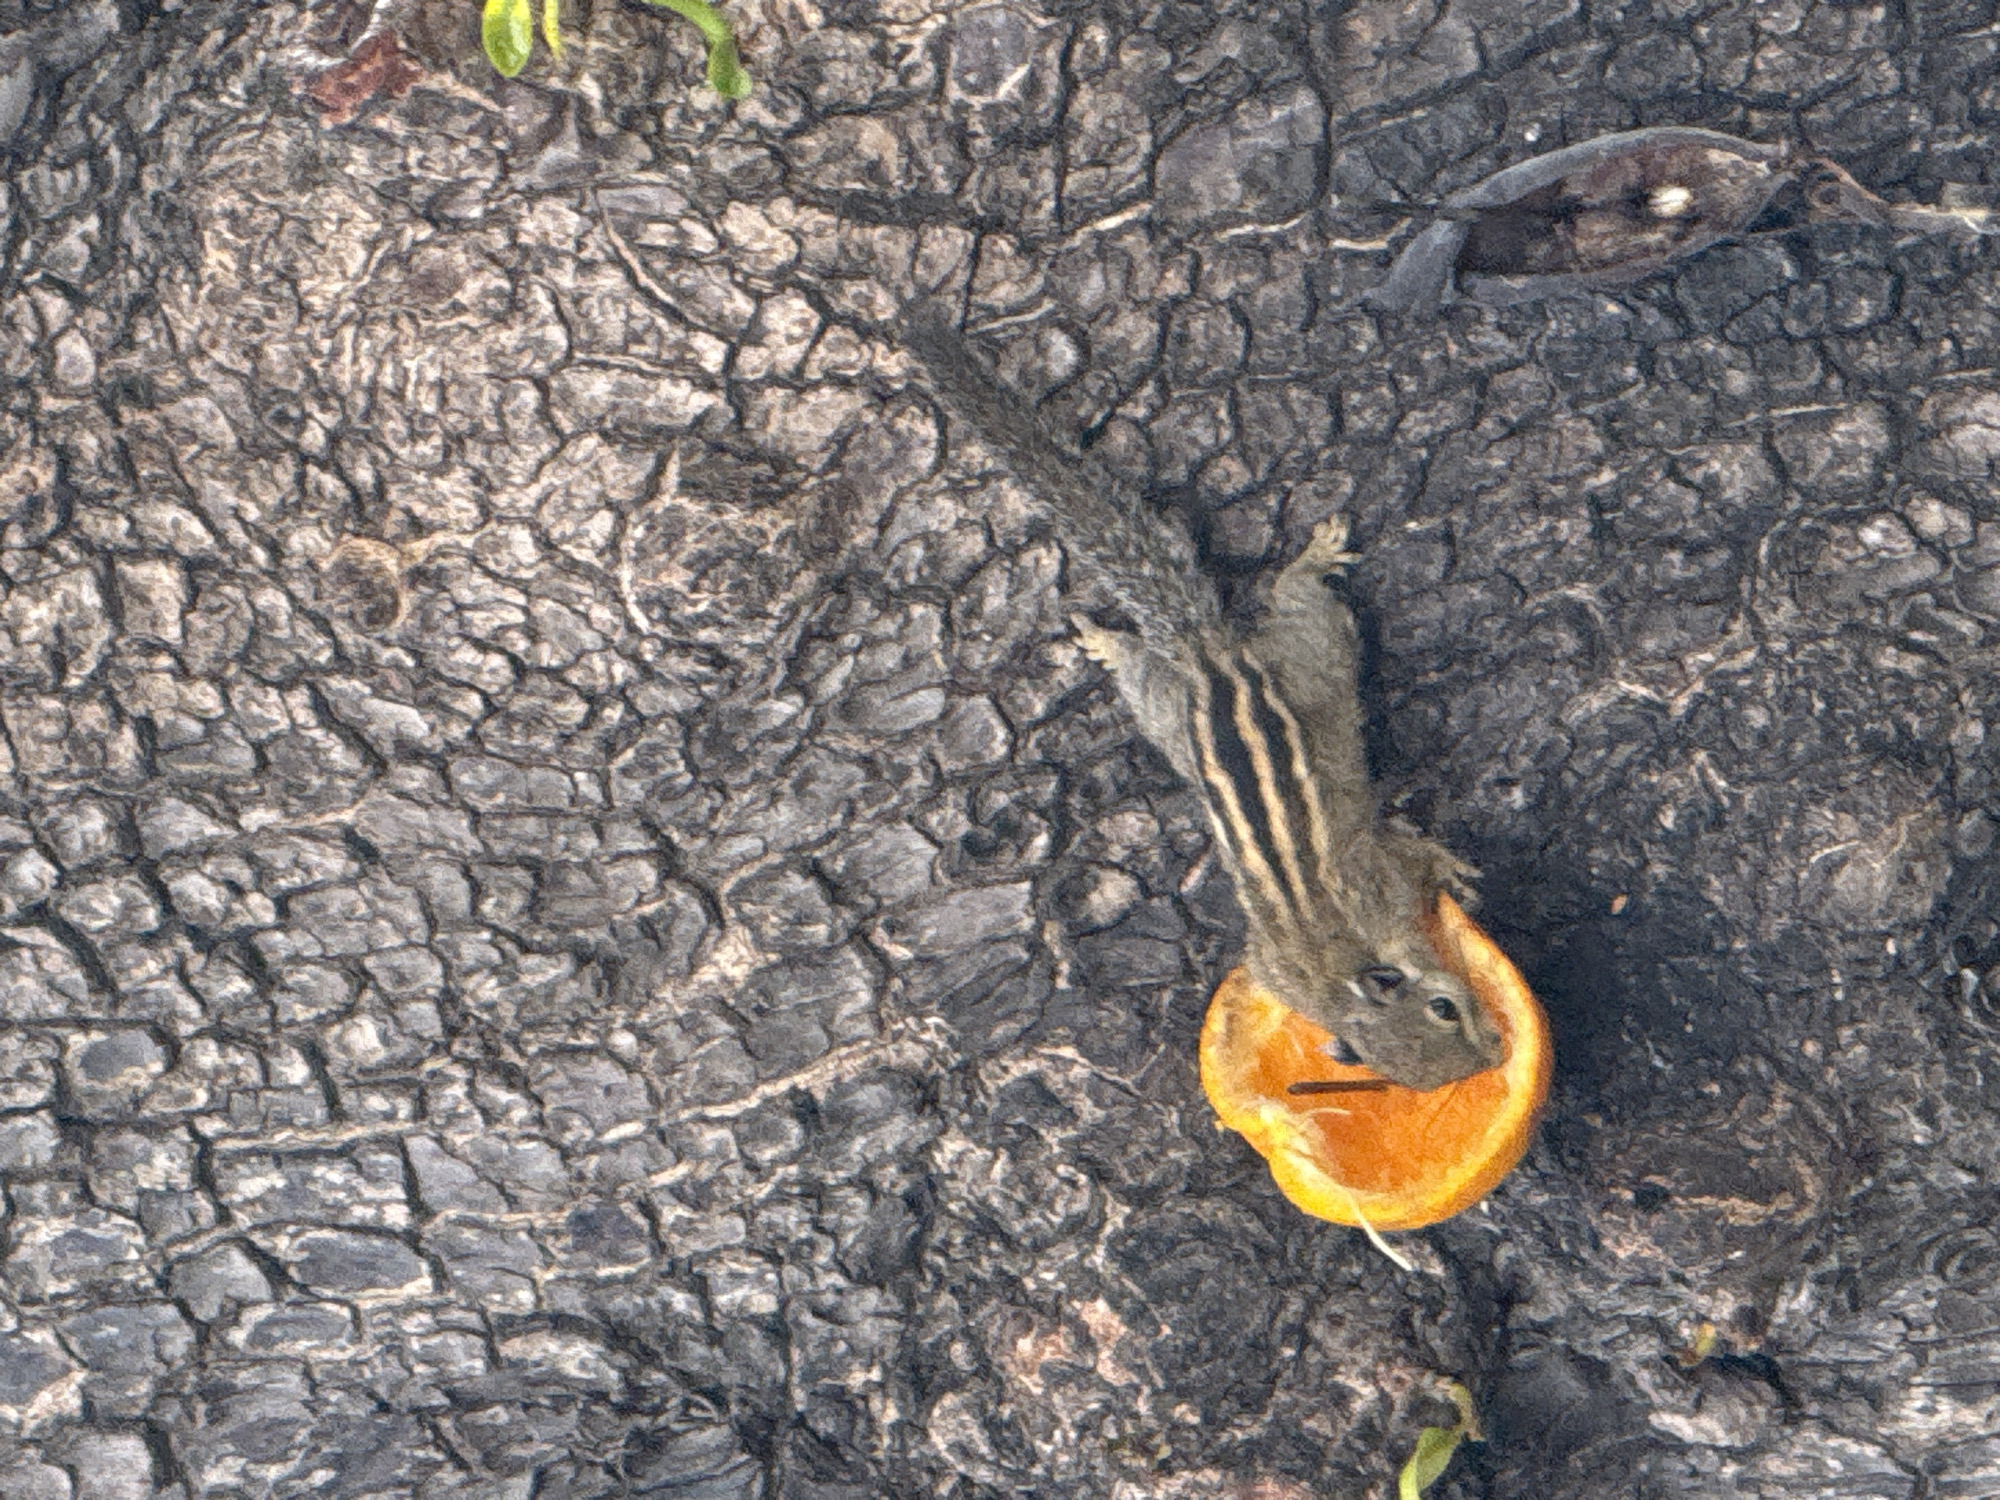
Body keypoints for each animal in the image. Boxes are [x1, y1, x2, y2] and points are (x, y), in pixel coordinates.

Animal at [900, 310, 1504, 1091]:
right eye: (1443, 1015)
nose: (1496, 1056)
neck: (1340, 974)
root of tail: (1207, 654)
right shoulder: (1327, 928)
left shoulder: (1367, 888)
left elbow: (1408, 854)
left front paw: (1448, 867)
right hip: (1238, 692)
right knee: (1243, 631)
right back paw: (1134, 635)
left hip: (1257, 676)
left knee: (1276, 610)